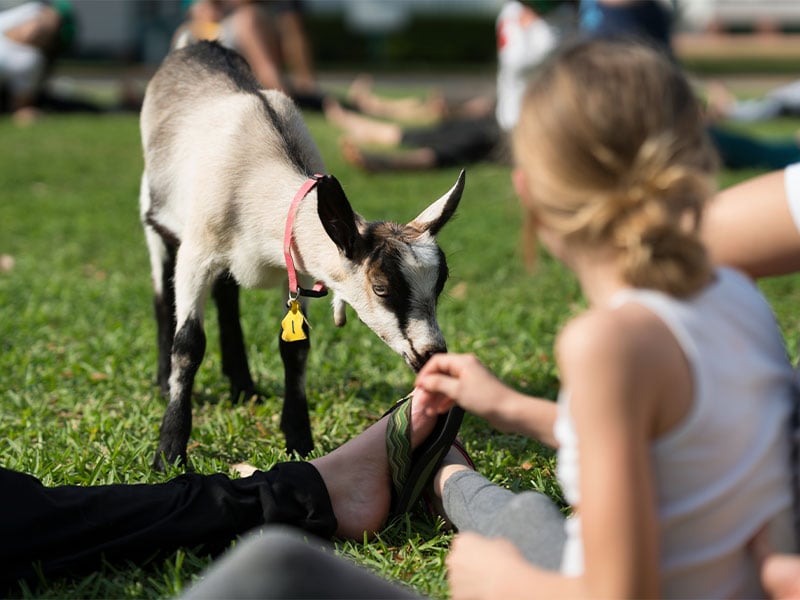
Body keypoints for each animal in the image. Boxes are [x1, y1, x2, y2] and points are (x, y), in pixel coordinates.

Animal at [138, 41, 464, 470]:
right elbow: (189, 344)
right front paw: (169, 452)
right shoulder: (197, 254)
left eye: (440, 284)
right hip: (154, 217)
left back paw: (243, 385)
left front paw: (298, 439)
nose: (431, 353)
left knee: (227, 297)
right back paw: (164, 382)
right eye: (380, 287)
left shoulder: (301, 272)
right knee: (163, 298)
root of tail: (196, 46)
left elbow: (295, 348)